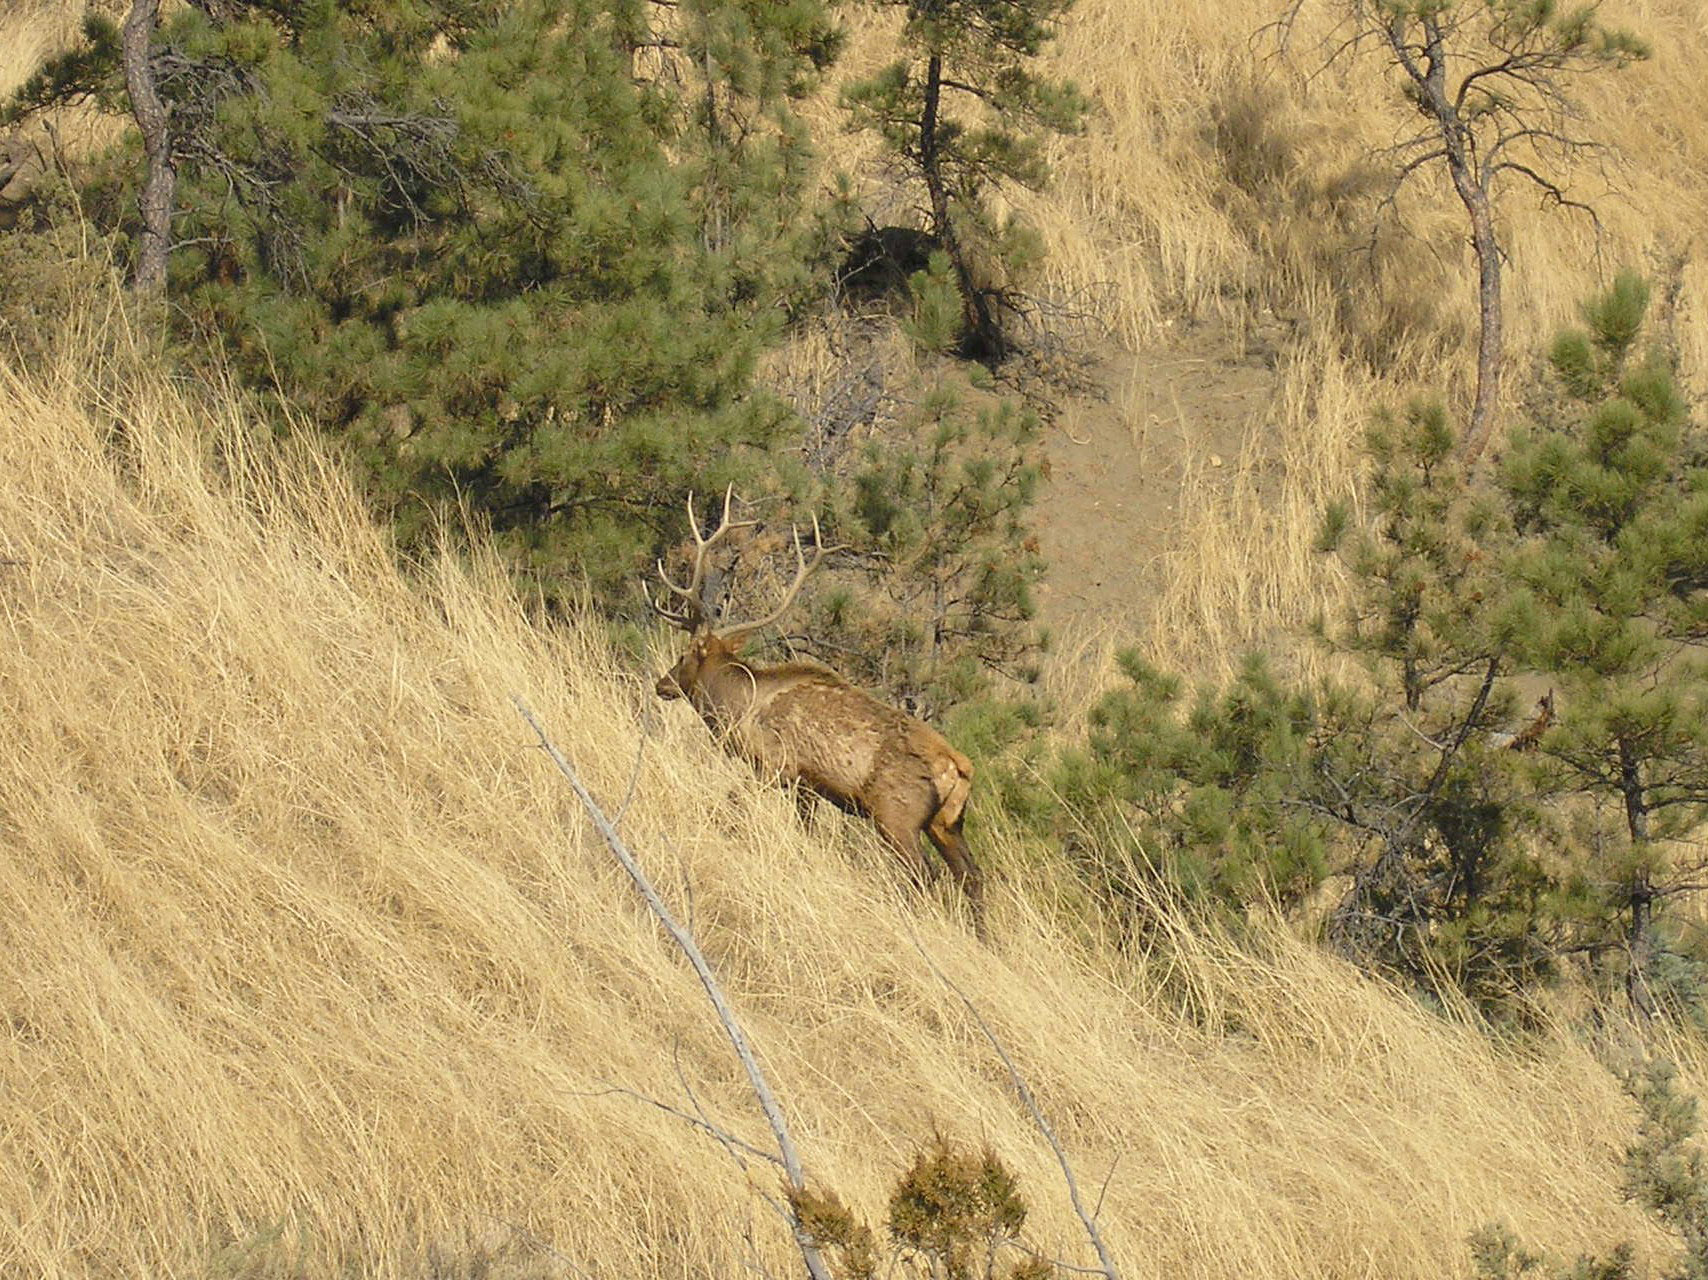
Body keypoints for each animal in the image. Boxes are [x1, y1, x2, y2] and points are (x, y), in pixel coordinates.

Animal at [649, 489, 985, 933]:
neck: (738, 709)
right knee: (972, 876)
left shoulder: (778, 766)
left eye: (684, 654)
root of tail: (958, 767)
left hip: (897, 815)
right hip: (947, 823)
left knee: (925, 874)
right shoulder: (808, 786)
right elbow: (805, 831)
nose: (662, 684)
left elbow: (734, 801)